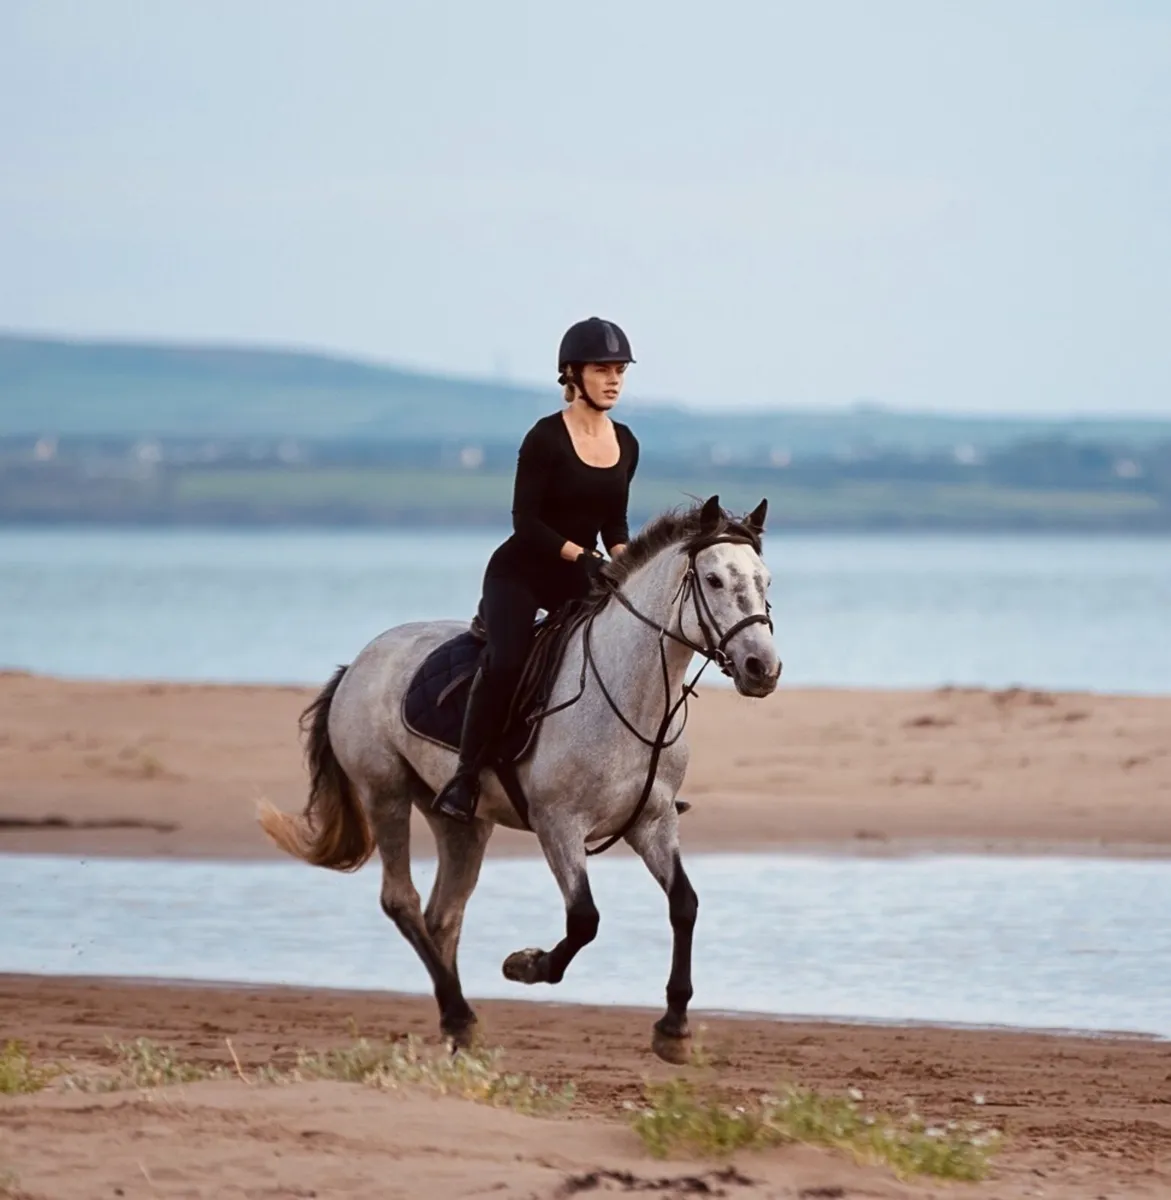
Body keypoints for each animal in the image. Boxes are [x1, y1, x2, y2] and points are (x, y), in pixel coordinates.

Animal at [258, 493, 781, 1064]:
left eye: (765, 581)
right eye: (713, 579)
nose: (762, 668)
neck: (633, 696)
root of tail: (358, 662)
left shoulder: (653, 821)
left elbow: (684, 905)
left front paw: (674, 1028)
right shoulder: (559, 824)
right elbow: (584, 919)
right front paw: (527, 965)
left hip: (462, 823)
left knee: (444, 915)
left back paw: (458, 1024)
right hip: (385, 793)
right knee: (403, 901)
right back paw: (459, 1014)